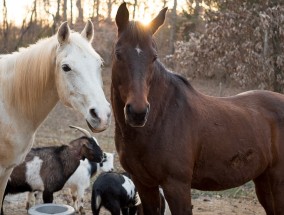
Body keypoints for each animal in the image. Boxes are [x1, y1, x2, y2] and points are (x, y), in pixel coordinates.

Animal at [111, 2, 284, 214]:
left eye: (154, 57)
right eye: (118, 54)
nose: (138, 113)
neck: (161, 119)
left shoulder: (177, 186)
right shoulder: (144, 184)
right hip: (264, 180)